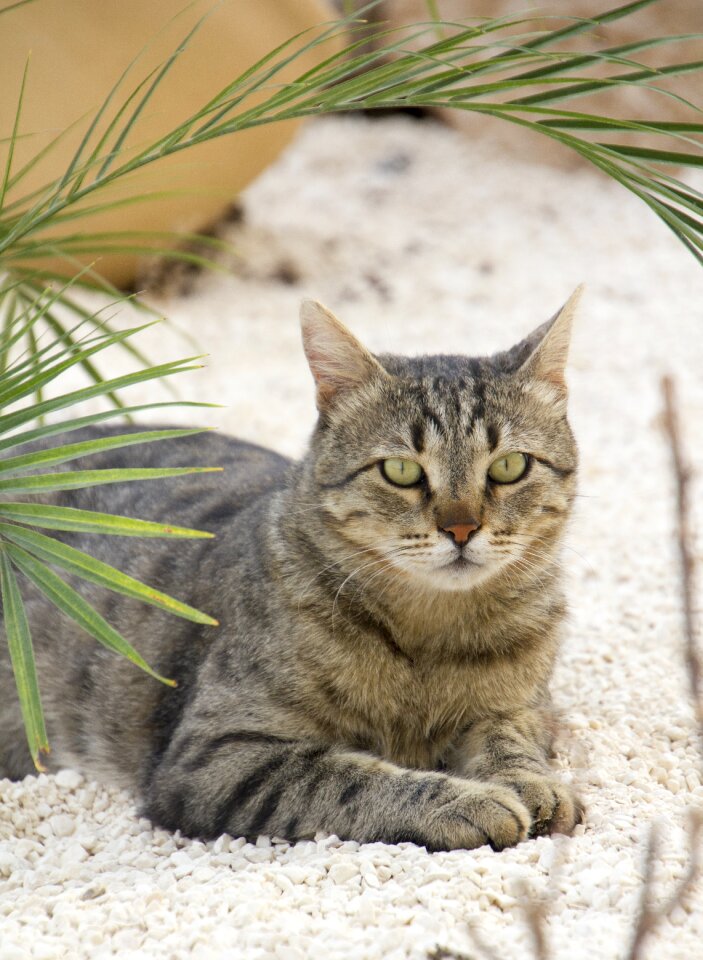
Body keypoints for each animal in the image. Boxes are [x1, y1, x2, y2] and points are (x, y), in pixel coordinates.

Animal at [0, 290, 584, 848]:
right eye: (400, 470)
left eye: (509, 466)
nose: (461, 529)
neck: (429, 635)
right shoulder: (218, 754)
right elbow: (351, 778)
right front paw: (467, 801)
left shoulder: (526, 704)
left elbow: (508, 736)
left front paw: (532, 782)